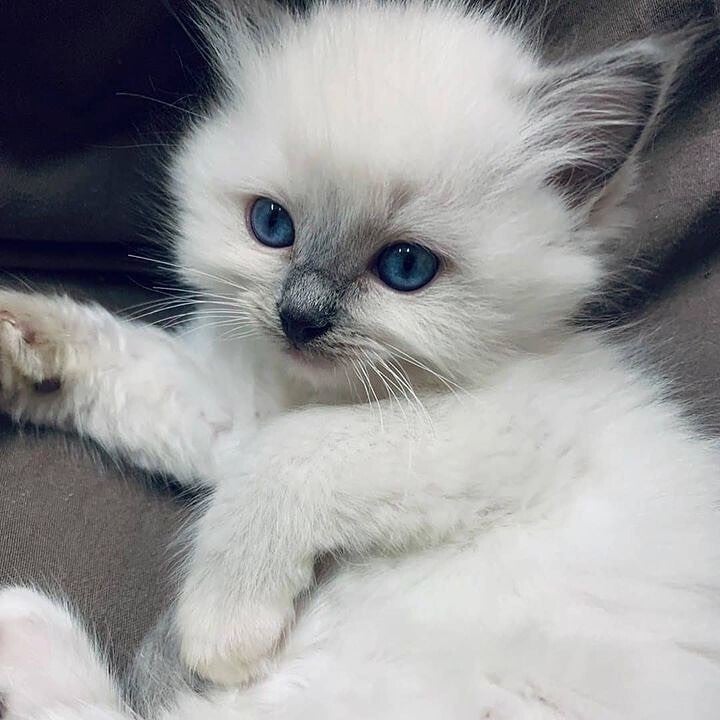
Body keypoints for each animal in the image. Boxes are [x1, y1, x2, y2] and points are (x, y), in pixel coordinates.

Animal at [0, 1, 719, 718]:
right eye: (271, 226)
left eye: (406, 267)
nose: (299, 317)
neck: (336, 394)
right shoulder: (240, 415)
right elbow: (129, 364)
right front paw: (18, 345)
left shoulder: (496, 435)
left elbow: (287, 457)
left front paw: (220, 630)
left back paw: (29, 622)